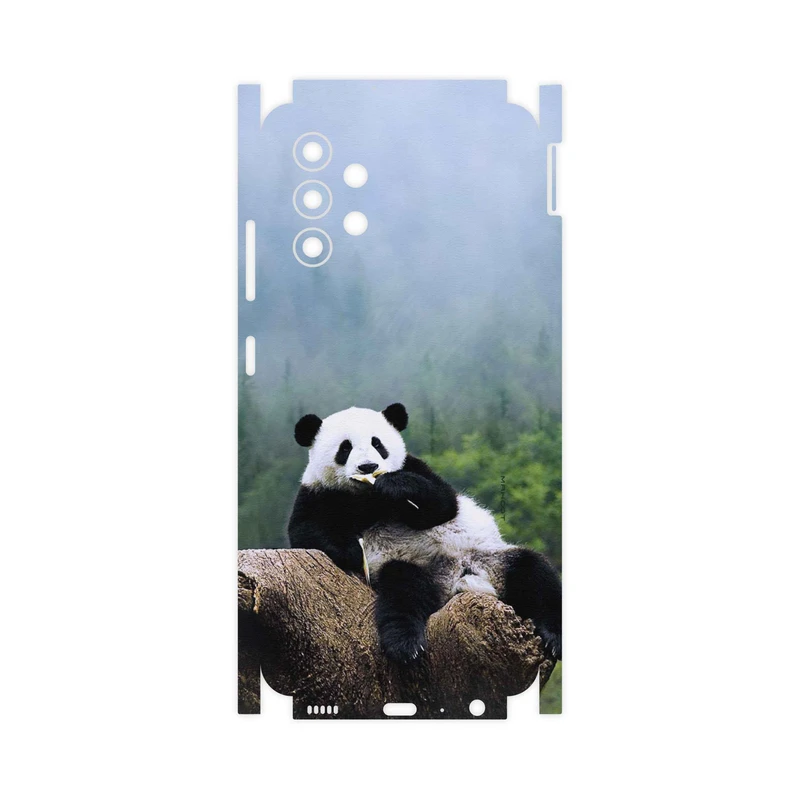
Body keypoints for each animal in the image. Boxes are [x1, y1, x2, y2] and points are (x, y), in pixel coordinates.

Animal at [288, 403, 562, 663]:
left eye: (377, 444)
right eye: (345, 448)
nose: (368, 466)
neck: (367, 497)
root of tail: (457, 580)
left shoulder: (415, 467)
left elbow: (443, 504)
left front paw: (394, 486)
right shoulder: (318, 493)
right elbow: (305, 531)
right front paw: (354, 551)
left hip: (490, 558)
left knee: (535, 574)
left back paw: (554, 637)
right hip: (413, 567)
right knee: (403, 591)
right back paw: (405, 645)